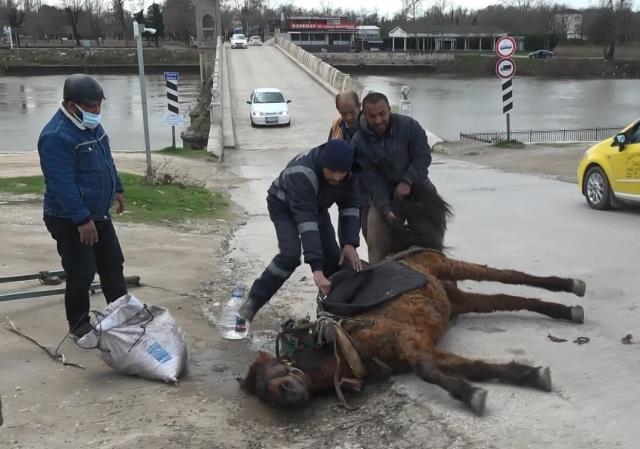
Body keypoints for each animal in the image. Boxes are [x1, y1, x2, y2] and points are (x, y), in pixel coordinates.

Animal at [239, 247, 584, 414]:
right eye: (266, 395)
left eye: (275, 375)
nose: (290, 396)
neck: (346, 345)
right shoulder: (422, 347)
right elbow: (472, 367)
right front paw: (527, 375)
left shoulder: (409, 341)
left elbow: (427, 371)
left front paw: (471, 395)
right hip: (458, 300)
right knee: (506, 299)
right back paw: (565, 310)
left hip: (447, 266)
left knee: (507, 275)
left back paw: (571, 285)